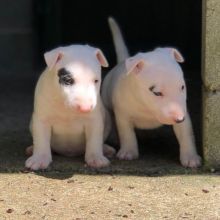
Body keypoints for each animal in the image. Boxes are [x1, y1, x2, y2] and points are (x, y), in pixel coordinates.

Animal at [101, 17, 201, 168]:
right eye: (157, 93)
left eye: (182, 87)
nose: (179, 118)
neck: (146, 106)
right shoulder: (122, 114)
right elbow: (126, 133)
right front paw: (128, 152)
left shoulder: (184, 112)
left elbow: (186, 133)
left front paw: (191, 157)